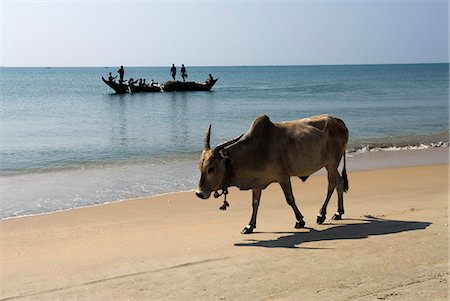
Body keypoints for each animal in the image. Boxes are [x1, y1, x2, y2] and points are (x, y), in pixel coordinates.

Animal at [195, 113, 350, 233]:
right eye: (200, 167)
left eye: (211, 168)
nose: (199, 193)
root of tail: (338, 120)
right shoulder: (256, 183)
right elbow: (255, 203)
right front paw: (249, 226)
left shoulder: (283, 176)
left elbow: (290, 199)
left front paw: (300, 220)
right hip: (331, 165)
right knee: (340, 182)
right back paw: (338, 212)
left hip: (331, 163)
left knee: (331, 184)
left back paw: (321, 214)